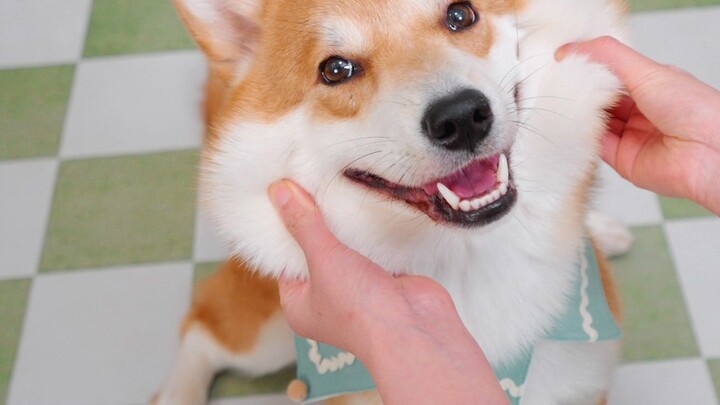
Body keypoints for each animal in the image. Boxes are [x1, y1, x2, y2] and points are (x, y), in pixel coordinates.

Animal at [156, 0, 632, 404]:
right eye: (336, 69)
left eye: (460, 14)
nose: (461, 117)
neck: (470, 260)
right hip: (268, 331)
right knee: (203, 324)